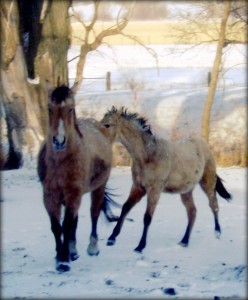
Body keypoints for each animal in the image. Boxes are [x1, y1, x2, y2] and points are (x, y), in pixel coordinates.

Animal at [36, 84, 118, 272]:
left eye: (71, 108)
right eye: (49, 109)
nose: (59, 141)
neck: (60, 162)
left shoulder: (73, 193)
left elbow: (66, 225)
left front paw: (64, 260)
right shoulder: (49, 196)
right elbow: (56, 226)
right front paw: (61, 257)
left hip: (98, 188)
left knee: (94, 214)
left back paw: (92, 247)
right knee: (75, 220)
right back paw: (73, 251)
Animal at [100, 106, 232, 252]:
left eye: (107, 124)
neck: (147, 156)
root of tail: (204, 145)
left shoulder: (154, 190)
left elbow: (147, 217)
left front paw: (140, 246)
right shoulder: (138, 187)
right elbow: (125, 208)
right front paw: (112, 238)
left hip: (207, 182)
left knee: (213, 205)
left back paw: (217, 233)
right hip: (186, 191)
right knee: (192, 212)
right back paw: (184, 241)